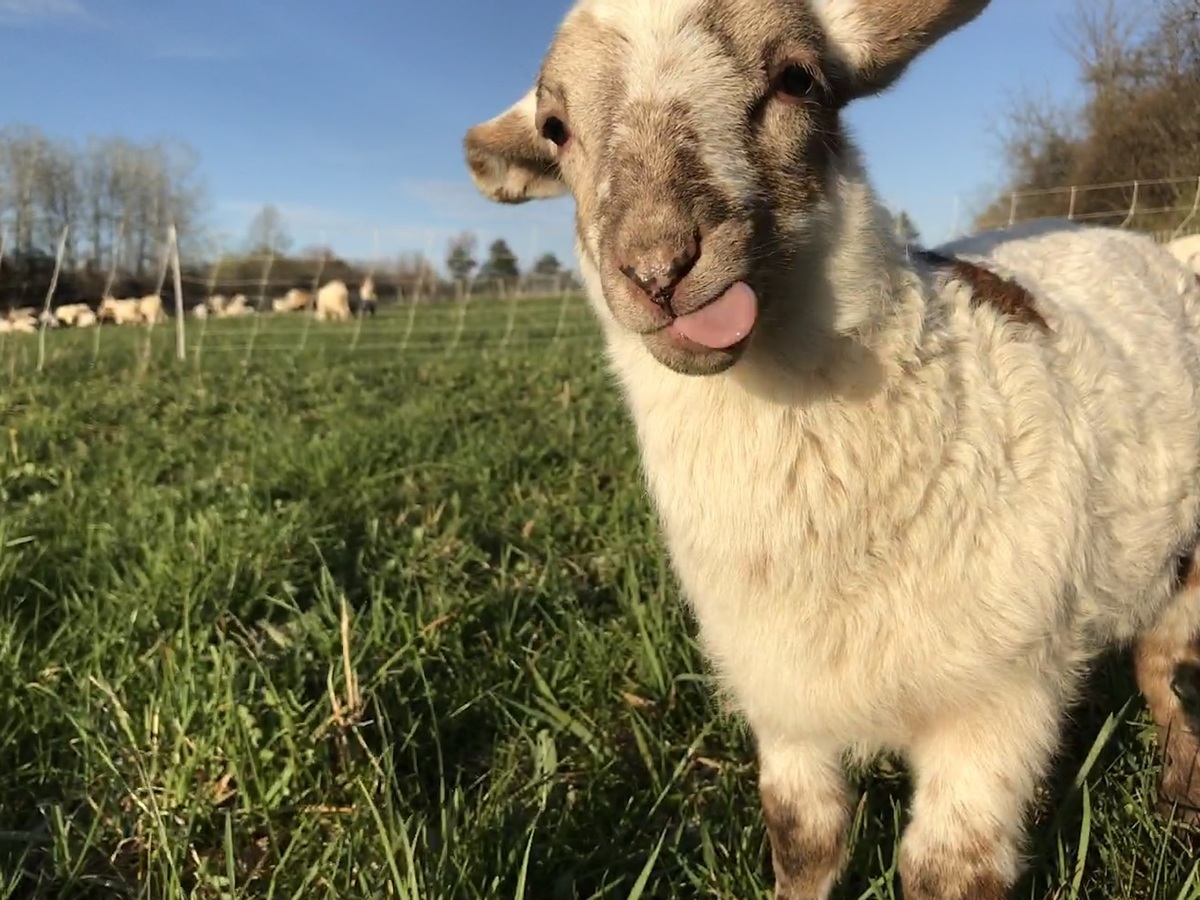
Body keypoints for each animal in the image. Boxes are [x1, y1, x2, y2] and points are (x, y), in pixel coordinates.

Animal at [463, 1, 1200, 897]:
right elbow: (802, 836)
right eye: (556, 128)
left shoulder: (999, 699)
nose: (658, 266)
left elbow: (945, 872)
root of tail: (1158, 246)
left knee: (1165, 670)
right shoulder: (783, 699)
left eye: (797, 80)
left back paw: (1181, 788)